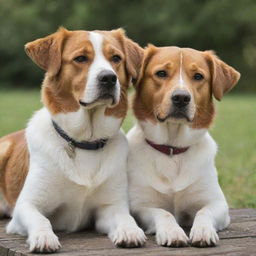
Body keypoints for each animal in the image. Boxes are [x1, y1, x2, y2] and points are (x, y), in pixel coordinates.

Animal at [0, 27, 146, 252]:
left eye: (116, 58)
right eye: (80, 58)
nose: (109, 78)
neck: (84, 141)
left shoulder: (110, 206)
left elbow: (125, 217)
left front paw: (130, 231)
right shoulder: (26, 206)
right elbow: (41, 219)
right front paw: (44, 237)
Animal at [127, 46, 240, 248]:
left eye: (198, 76)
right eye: (161, 73)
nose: (181, 98)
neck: (172, 149)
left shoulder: (218, 204)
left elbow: (204, 212)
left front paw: (203, 231)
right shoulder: (141, 206)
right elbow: (164, 212)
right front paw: (172, 232)